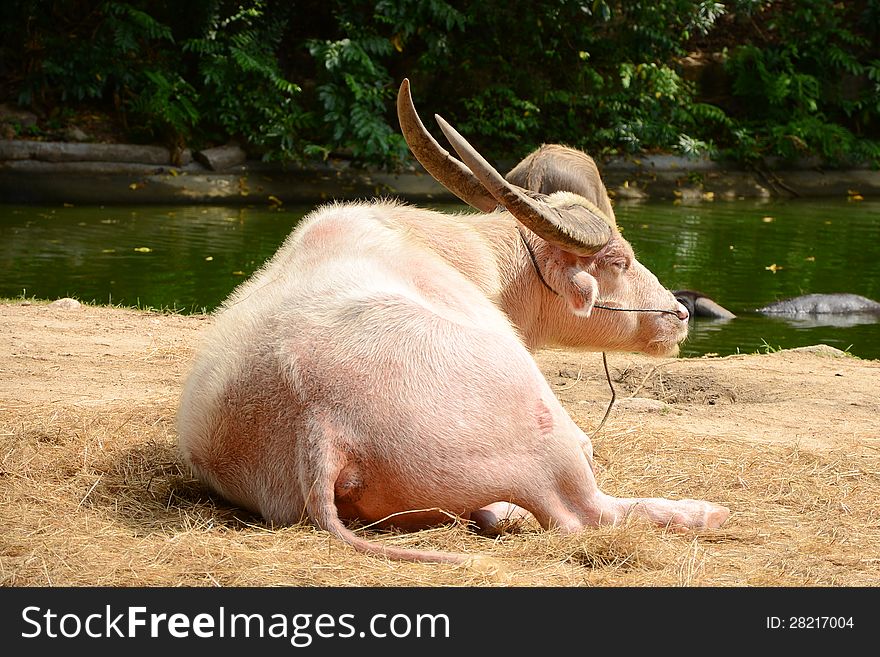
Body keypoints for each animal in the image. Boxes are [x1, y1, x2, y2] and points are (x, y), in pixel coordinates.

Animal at [174, 78, 728, 564]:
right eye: (618, 259)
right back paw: (703, 512)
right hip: (545, 427)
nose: (679, 314)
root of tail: (319, 423)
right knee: (584, 513)